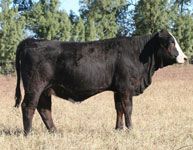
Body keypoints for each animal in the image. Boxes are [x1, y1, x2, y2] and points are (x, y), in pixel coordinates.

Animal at [14, 29, 187, 135]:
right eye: (171, 42)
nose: (185, 58)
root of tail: (31, 41)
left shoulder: (118, 89)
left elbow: (119, 109)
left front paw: (119, 129)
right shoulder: (126, 88)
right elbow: (128, 109)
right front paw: (130, 129)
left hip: (45, 89)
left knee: (44, 109)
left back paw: (55, 132)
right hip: (34, 86)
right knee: (28, 107)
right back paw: (28, 133)